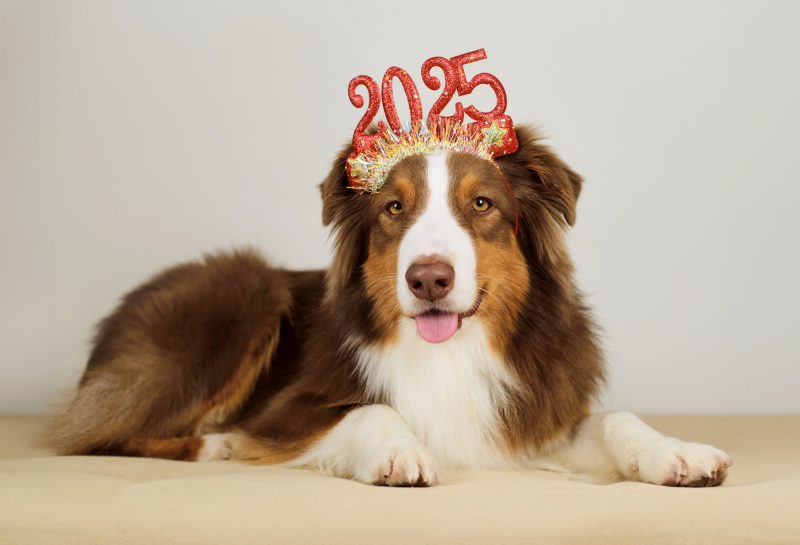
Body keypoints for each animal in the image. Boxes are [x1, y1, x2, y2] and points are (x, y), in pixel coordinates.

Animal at [48, 125, 732, 486]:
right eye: (394, 208)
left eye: (481, 204)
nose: (428, 278)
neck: (452, 352)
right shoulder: (286, 411)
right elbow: (369, 410)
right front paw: (400, 452)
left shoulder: (529, 416)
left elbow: (614, 419)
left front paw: (676, 452)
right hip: (246, 293)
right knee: (92, 433)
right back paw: (212, 445)